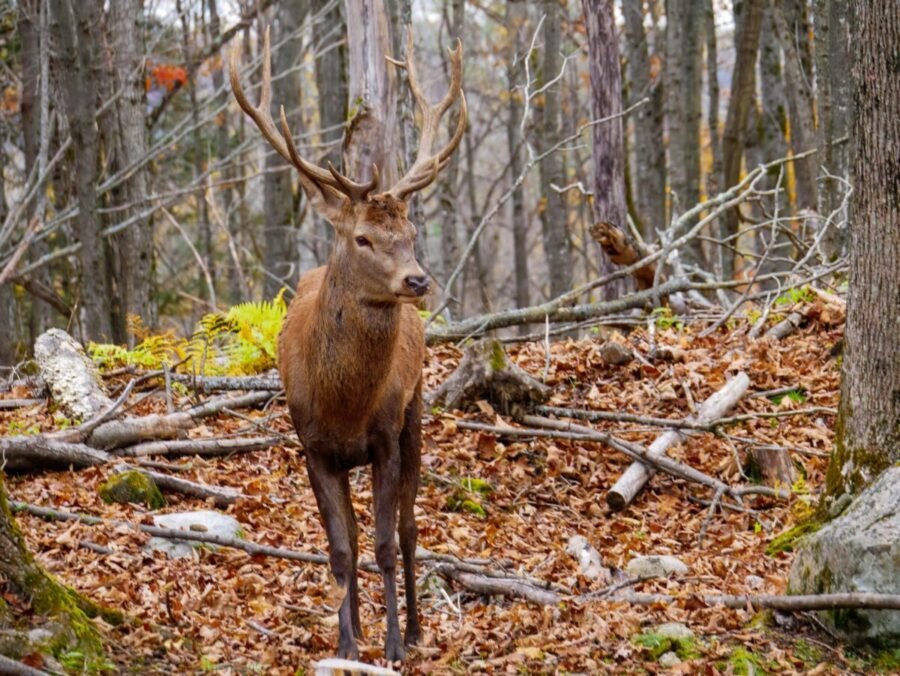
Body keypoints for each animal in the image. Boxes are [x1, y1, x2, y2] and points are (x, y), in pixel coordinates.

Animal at [230, 28, 466, 662]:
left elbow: (385, 541)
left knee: (408, 528)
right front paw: (346, 644)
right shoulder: (311, 445)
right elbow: (341, 547)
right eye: (362, 237)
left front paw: (394, 645)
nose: (418, 280)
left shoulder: (383, 434)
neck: (342, 403)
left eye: (410, 232)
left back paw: (414, 627)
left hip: (416, 408)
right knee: (358, 537)